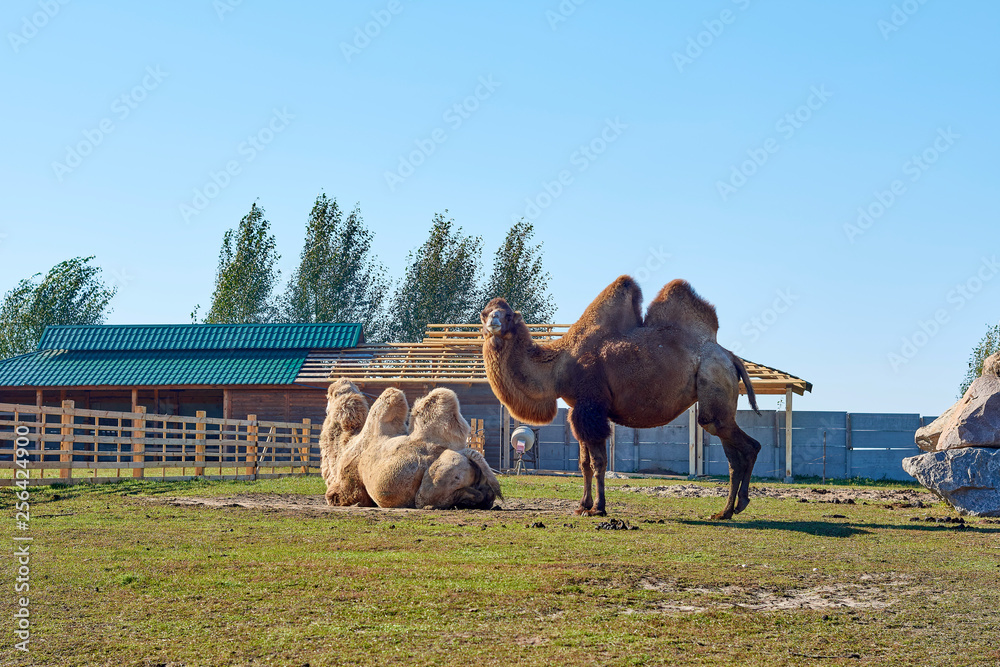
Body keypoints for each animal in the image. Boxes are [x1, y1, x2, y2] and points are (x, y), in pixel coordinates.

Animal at [321, 380, 503, 510]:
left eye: (328, 397)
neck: (346, 443)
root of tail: (467, 452)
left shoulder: (350, 486)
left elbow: (336, 496)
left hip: (439, 476)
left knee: (427, 499)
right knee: (486, 494)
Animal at [481, 276, 761, 519]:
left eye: (506, 314)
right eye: (486, 312)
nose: (493, 323)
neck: (557, 368)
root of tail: (730, 356)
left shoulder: (591, 407)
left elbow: (599, 462)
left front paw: (598, 508)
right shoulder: (579, 409)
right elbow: (584, 463)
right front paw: (582, 506)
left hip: (713, 382)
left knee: (747, 445)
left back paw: (740, 504)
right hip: (720, 403)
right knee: (732, 456)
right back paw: (725, 511)